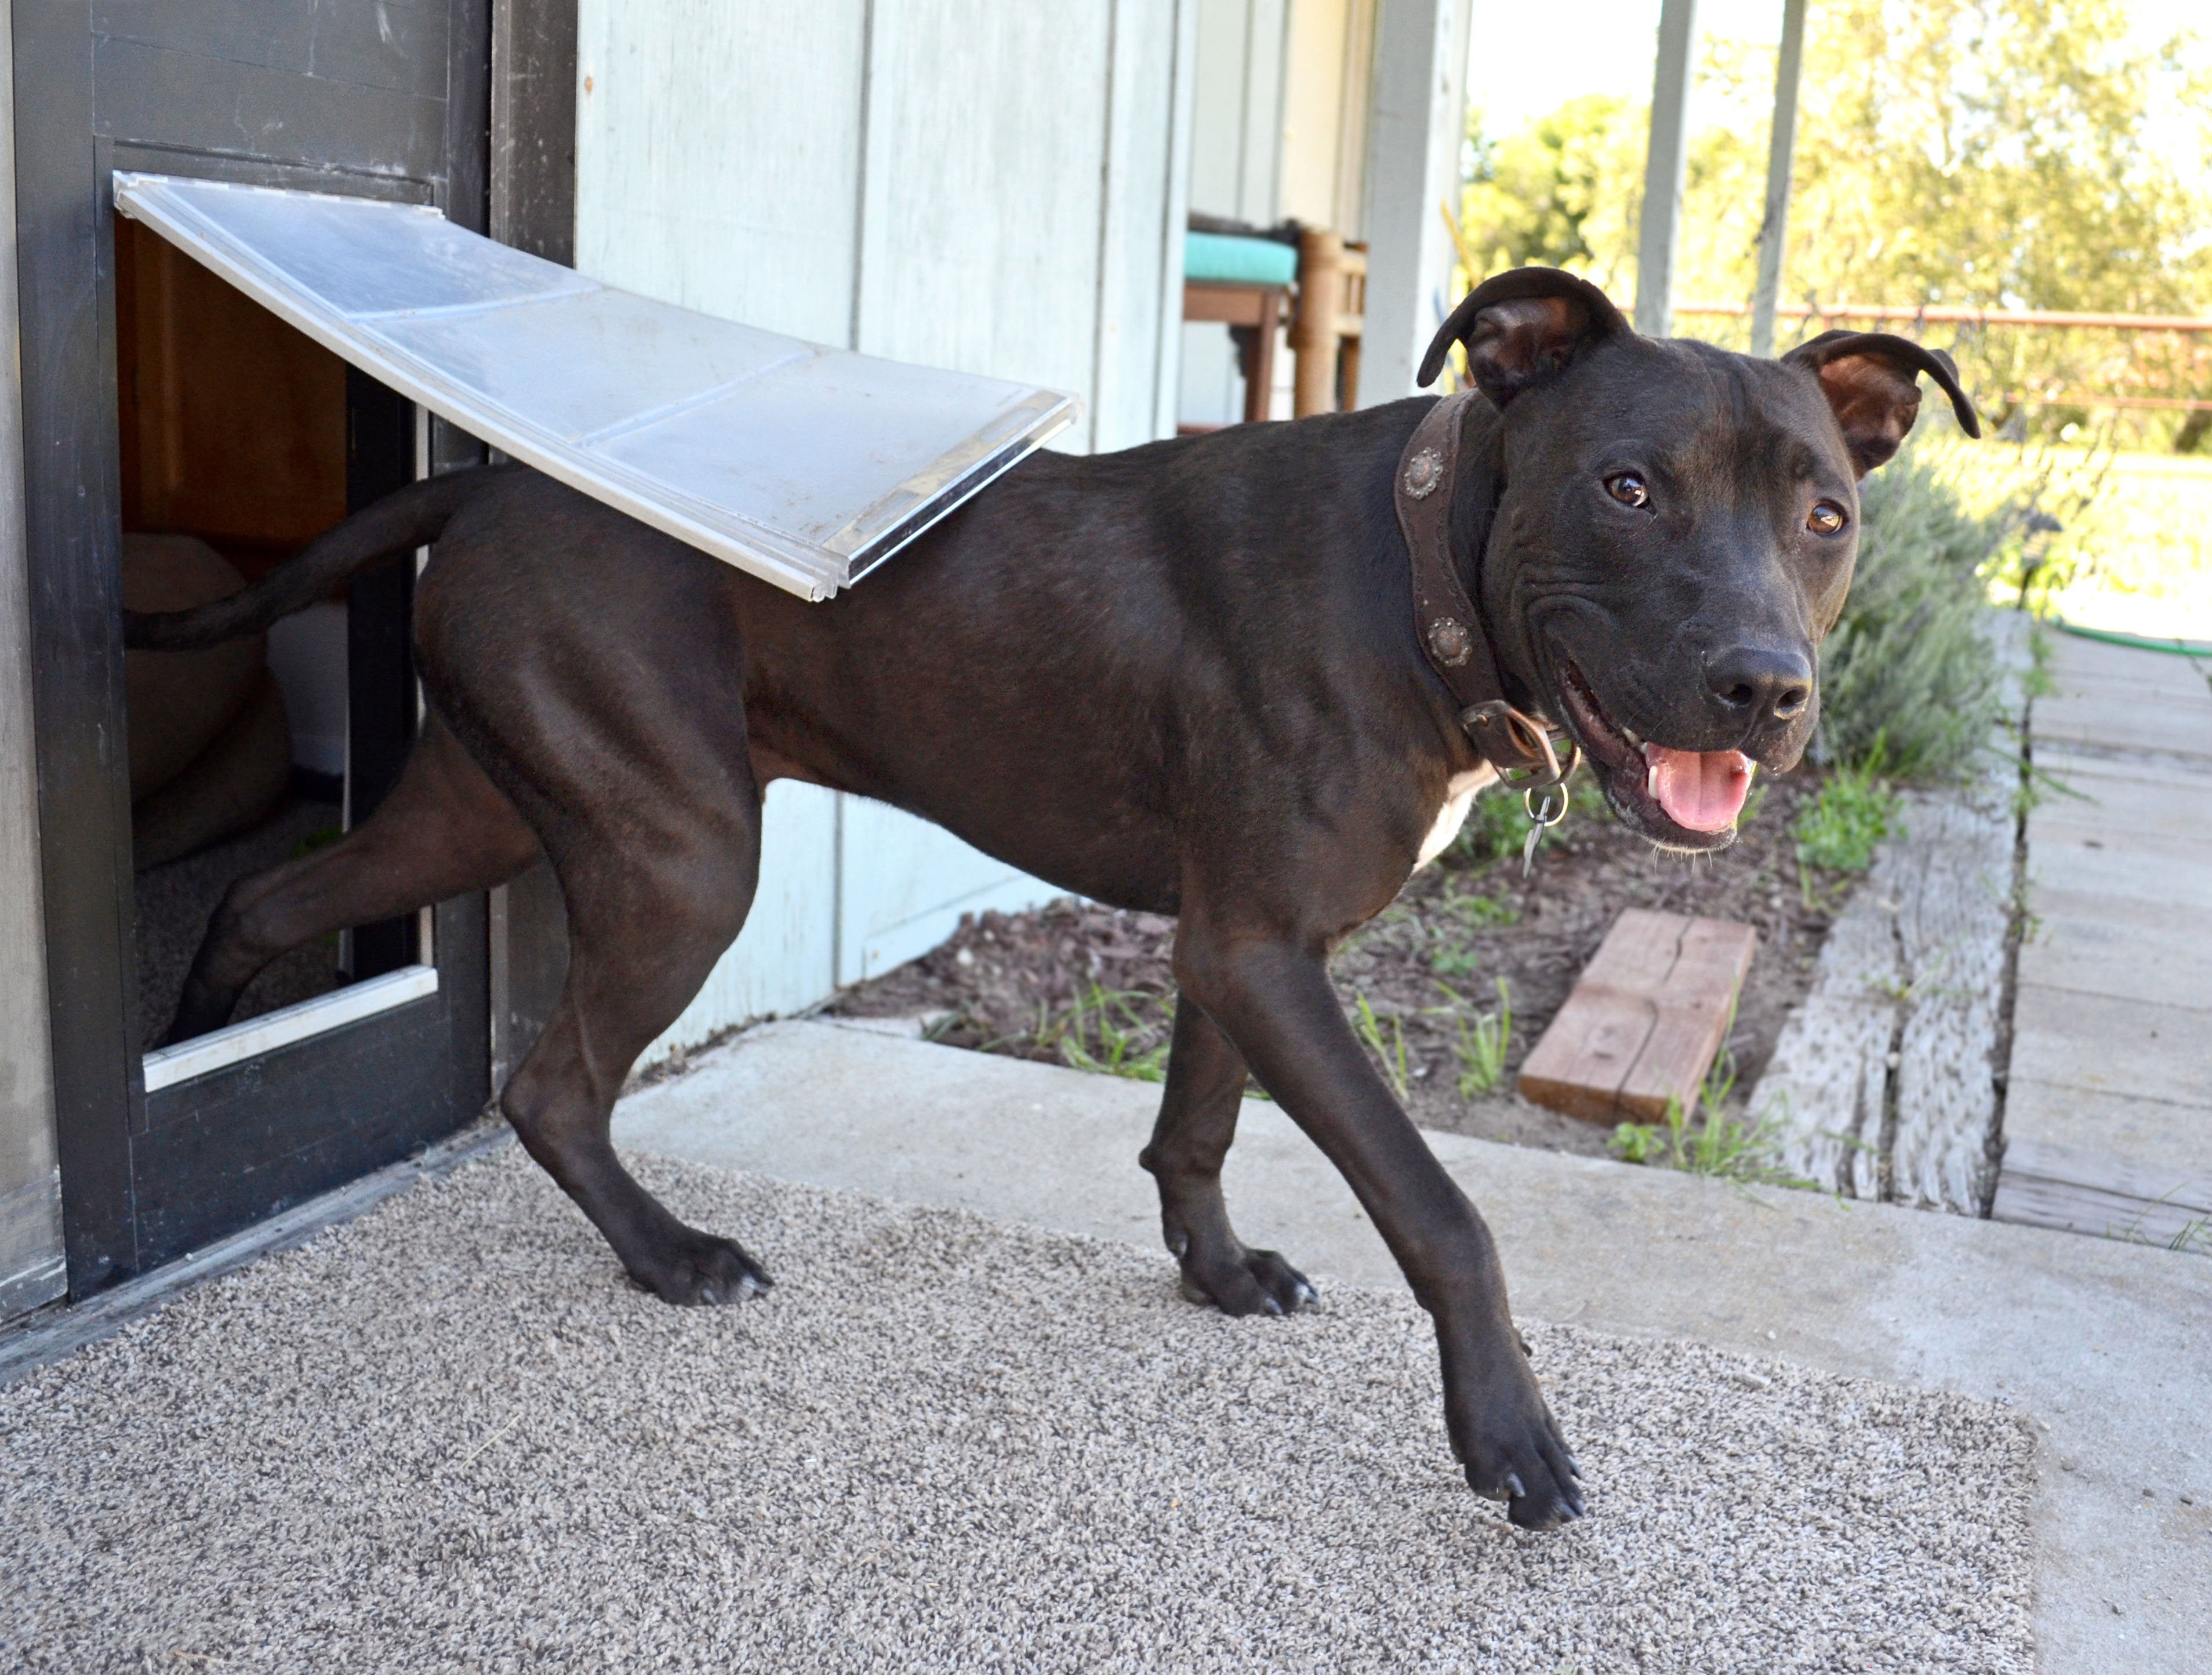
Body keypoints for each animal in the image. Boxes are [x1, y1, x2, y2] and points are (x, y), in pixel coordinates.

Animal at [133, 271, 1973, 1531]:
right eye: (1627, 488)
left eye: (1826, 515)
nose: (1767, 689)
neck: (1419, 572)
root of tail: (493, 480)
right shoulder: (1262, 951)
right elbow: (1444, 1210)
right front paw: (1507, 1436)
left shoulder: (1242, 947)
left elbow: (1195, 1128)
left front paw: (1217, 1277)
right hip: (679, 851)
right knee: (549, 1081)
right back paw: (668, 1257)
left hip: (479, 805)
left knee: (274, 907)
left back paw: (190, 1058)